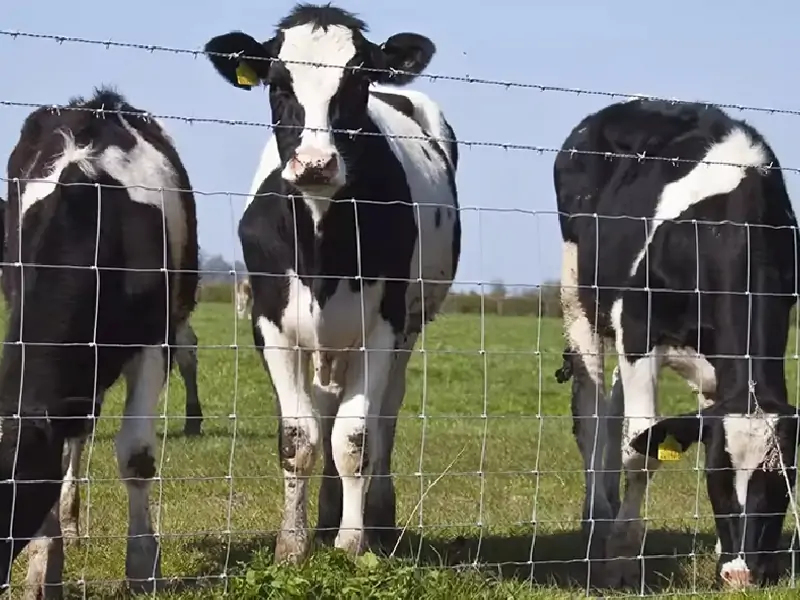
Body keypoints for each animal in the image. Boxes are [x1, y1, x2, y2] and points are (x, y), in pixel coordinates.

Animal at [203, 1, 460, 564]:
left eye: (358, 81)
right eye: (278, 83)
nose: (316, 164)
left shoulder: (383, 327)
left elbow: (355, 438)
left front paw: (352, 542)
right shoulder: (270, 324)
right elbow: (300, 437)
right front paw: (293, 543)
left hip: (409, 326)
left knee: (383, 416)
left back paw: (376, 518)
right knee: (324, 410)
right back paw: (324, 515)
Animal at [556, 99, 800, 592]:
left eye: (782, 485)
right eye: (715, 479)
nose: (742, 574)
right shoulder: (638, 325)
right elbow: (641, 451)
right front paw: (623, 558)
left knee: (614, 410)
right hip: (580, 297)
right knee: (593, 417)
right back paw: (597, 518)